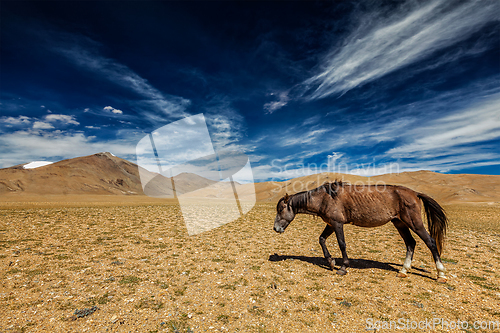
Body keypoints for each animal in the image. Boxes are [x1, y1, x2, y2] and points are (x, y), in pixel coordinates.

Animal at [274, 180, 450, 282]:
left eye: (281, 209)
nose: (276, 228)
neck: (324, 198)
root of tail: (415, 193)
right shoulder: (330, 224)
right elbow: (321, 239)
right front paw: (331, 262)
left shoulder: (337, 223)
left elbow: (342, 244)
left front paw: (343, 268)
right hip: (399, 222)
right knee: (411, 243)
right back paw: (403, 270)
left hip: (414, 222)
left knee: (430, 242)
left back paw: (441, 274)